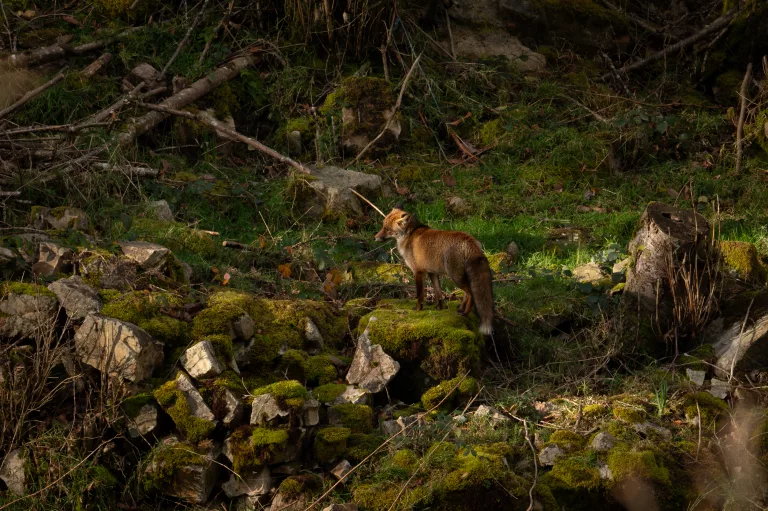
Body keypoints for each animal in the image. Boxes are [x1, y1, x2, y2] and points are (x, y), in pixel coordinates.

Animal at [374, 204, 494, 336]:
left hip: (455, 276)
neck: (409, 236)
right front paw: (439, 308)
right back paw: (460, 309)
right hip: (460, 276)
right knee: (466, 294)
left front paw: (418, 309)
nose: (375, 238)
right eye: (383, 226)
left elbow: (420, 294)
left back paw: (465, 313)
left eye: (387, 229)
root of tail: (470, 240)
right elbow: (438, 293)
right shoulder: (432, 272)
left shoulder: (418, 271)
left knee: (470, 293)